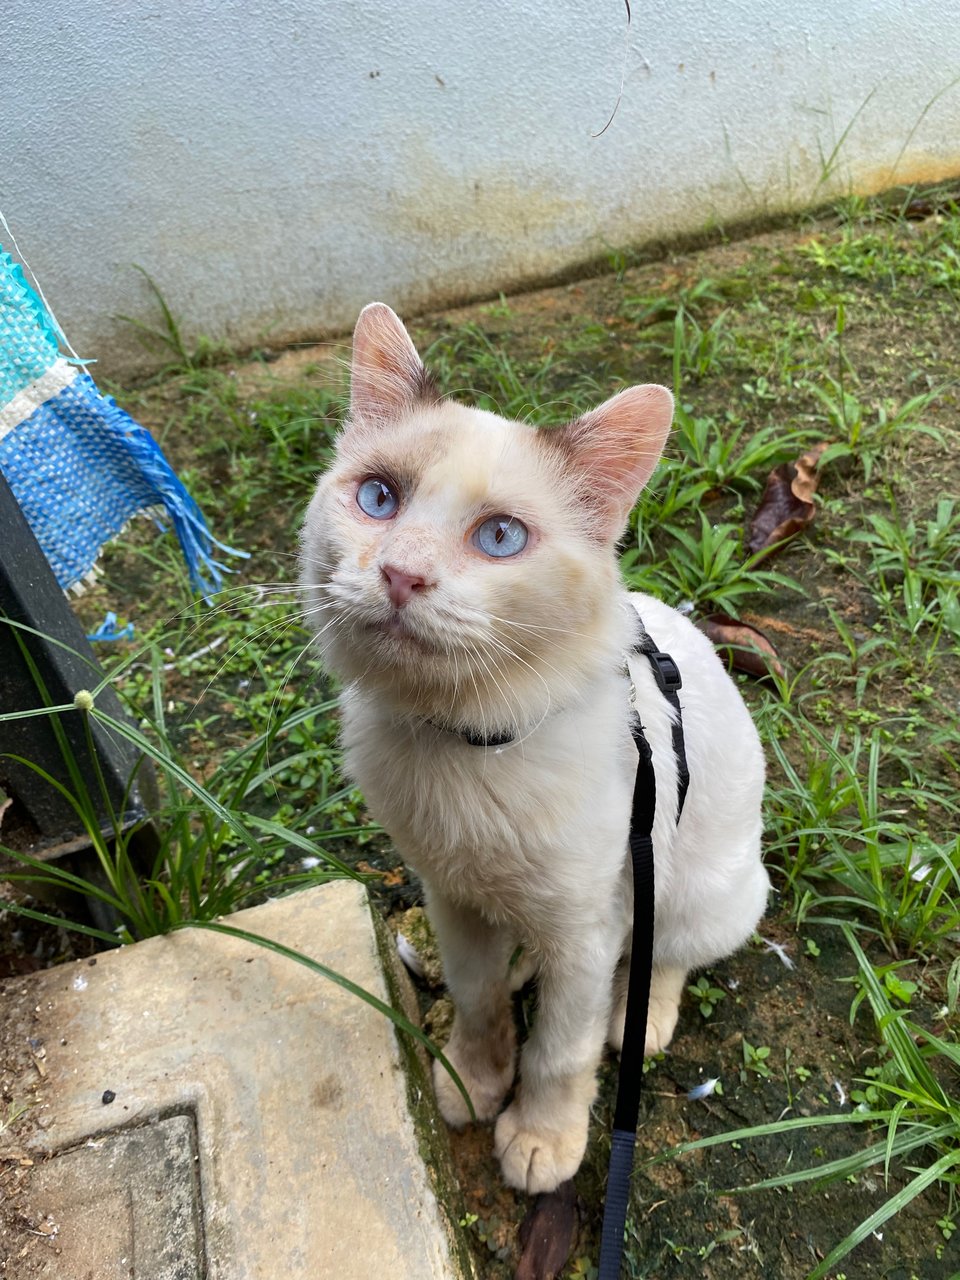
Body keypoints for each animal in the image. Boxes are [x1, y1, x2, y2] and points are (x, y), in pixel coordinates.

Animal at [302, 304, 773, 1192]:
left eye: (500, 538)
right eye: (378, 497)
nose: (401, 574)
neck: (466, 738)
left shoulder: (589, 927)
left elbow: (561, 1049)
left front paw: (541, 1138)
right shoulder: (449, 894)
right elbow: (479, 999)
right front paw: (474, 1080)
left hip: (696, 893)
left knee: (665, 959)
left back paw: (640, 1018)